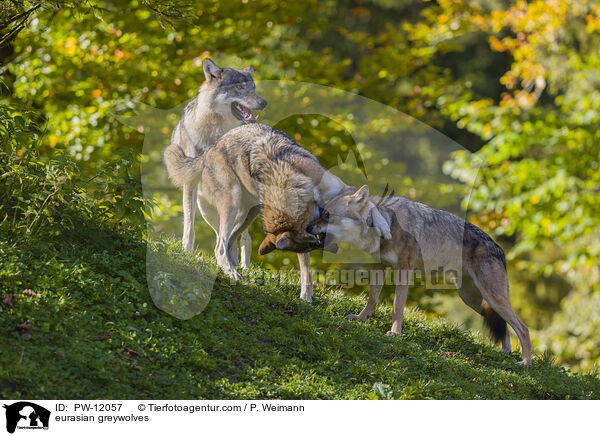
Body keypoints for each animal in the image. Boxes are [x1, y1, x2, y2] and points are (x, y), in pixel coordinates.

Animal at [162, 122, 392, 300]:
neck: (289, 180)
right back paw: (232, 272)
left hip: (249, 213)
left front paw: (383, 226)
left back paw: (237, 267)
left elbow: (370, 204)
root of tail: (210, 148)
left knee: (229, 240)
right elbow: (306, 268)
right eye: (312, 244)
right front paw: (306, 296)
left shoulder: (342, 189)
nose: (329, 247)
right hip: (230, 204)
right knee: (220, 245)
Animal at [164, 58, 268, 266]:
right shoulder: (189, 182)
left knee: (243, 238)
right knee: (225, 235)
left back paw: (243, 266)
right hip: (207, 209)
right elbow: (189, 225)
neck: (217, 131)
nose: (263, 102)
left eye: (253, 87)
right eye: (239, 87)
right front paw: (186, 252)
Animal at [308, 184, 532, 364]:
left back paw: (525, 363)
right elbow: (372, 299)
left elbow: (397, 307)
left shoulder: (403, 271)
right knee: (506, 327)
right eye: (322, 212)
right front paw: (362, 318)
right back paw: (505, 352)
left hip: (491, 298)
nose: (308, 227)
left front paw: (395, 333)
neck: (388, 225)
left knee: (523, 329)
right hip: (474, 299)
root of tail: (500, 249)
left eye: (327, 215)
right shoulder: (379, 266)